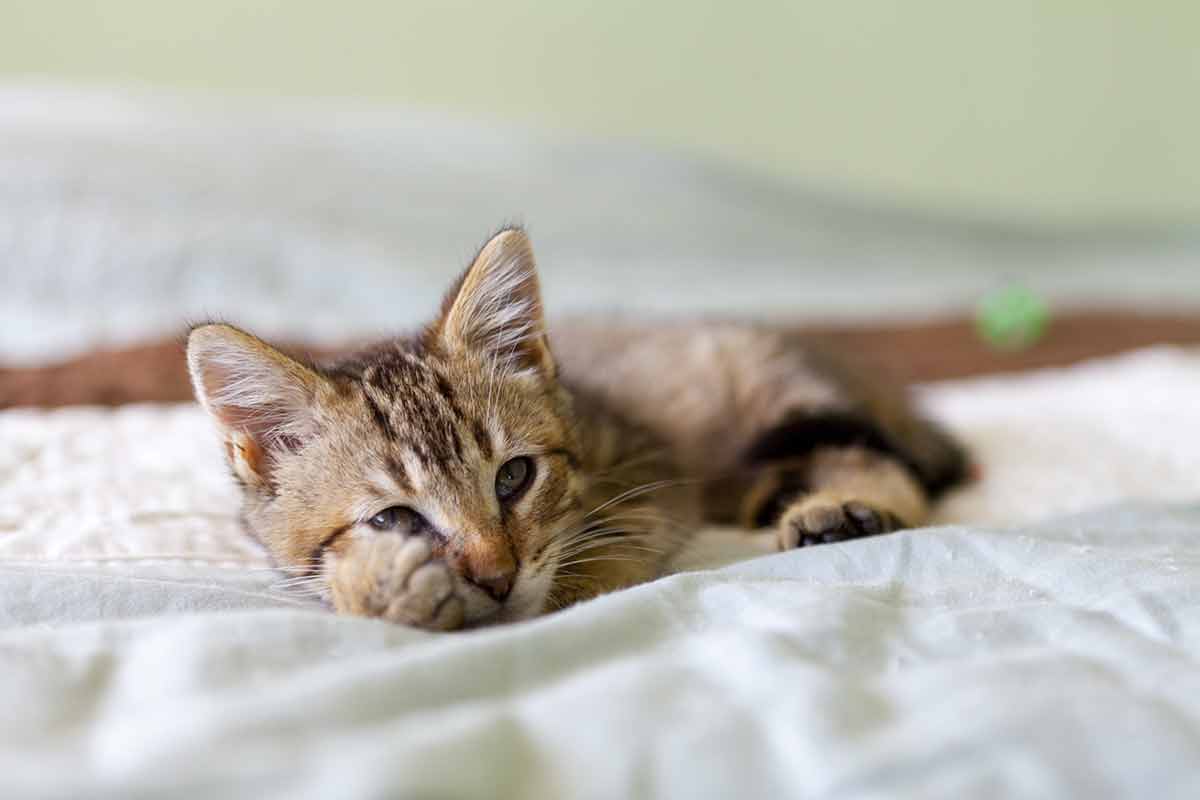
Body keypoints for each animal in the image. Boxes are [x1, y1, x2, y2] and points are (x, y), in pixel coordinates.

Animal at [187, 226, 964, 633]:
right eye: (396, 520)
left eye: (514, 476)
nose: (497, 578)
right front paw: (384, 590)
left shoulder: (648, 470)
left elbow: (599, 557)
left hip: (776, 388)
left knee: (876, 456)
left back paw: (842, 510)